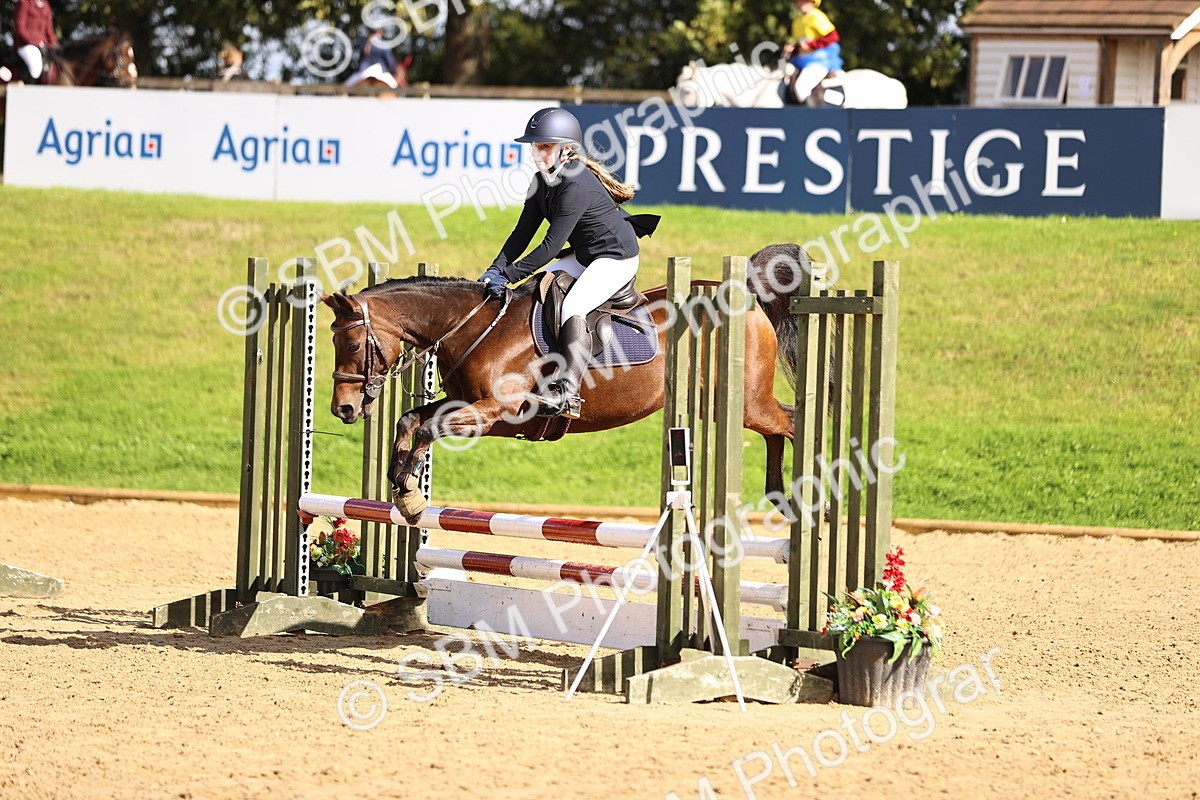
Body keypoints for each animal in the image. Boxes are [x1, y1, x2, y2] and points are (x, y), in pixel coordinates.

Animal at [323, 244, 816, 524]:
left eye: (352, 342)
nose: (343, 409)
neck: (475, 327)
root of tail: (746, 294)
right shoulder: (468, 404)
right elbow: (411, 420)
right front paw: (403, 487)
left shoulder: (498, 411)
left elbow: (427, 427)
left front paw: (409, 493)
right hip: (718, 403)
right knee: (777, 429)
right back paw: (779, 495)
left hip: (745, 401)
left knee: (791, 422)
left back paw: (810, 499)